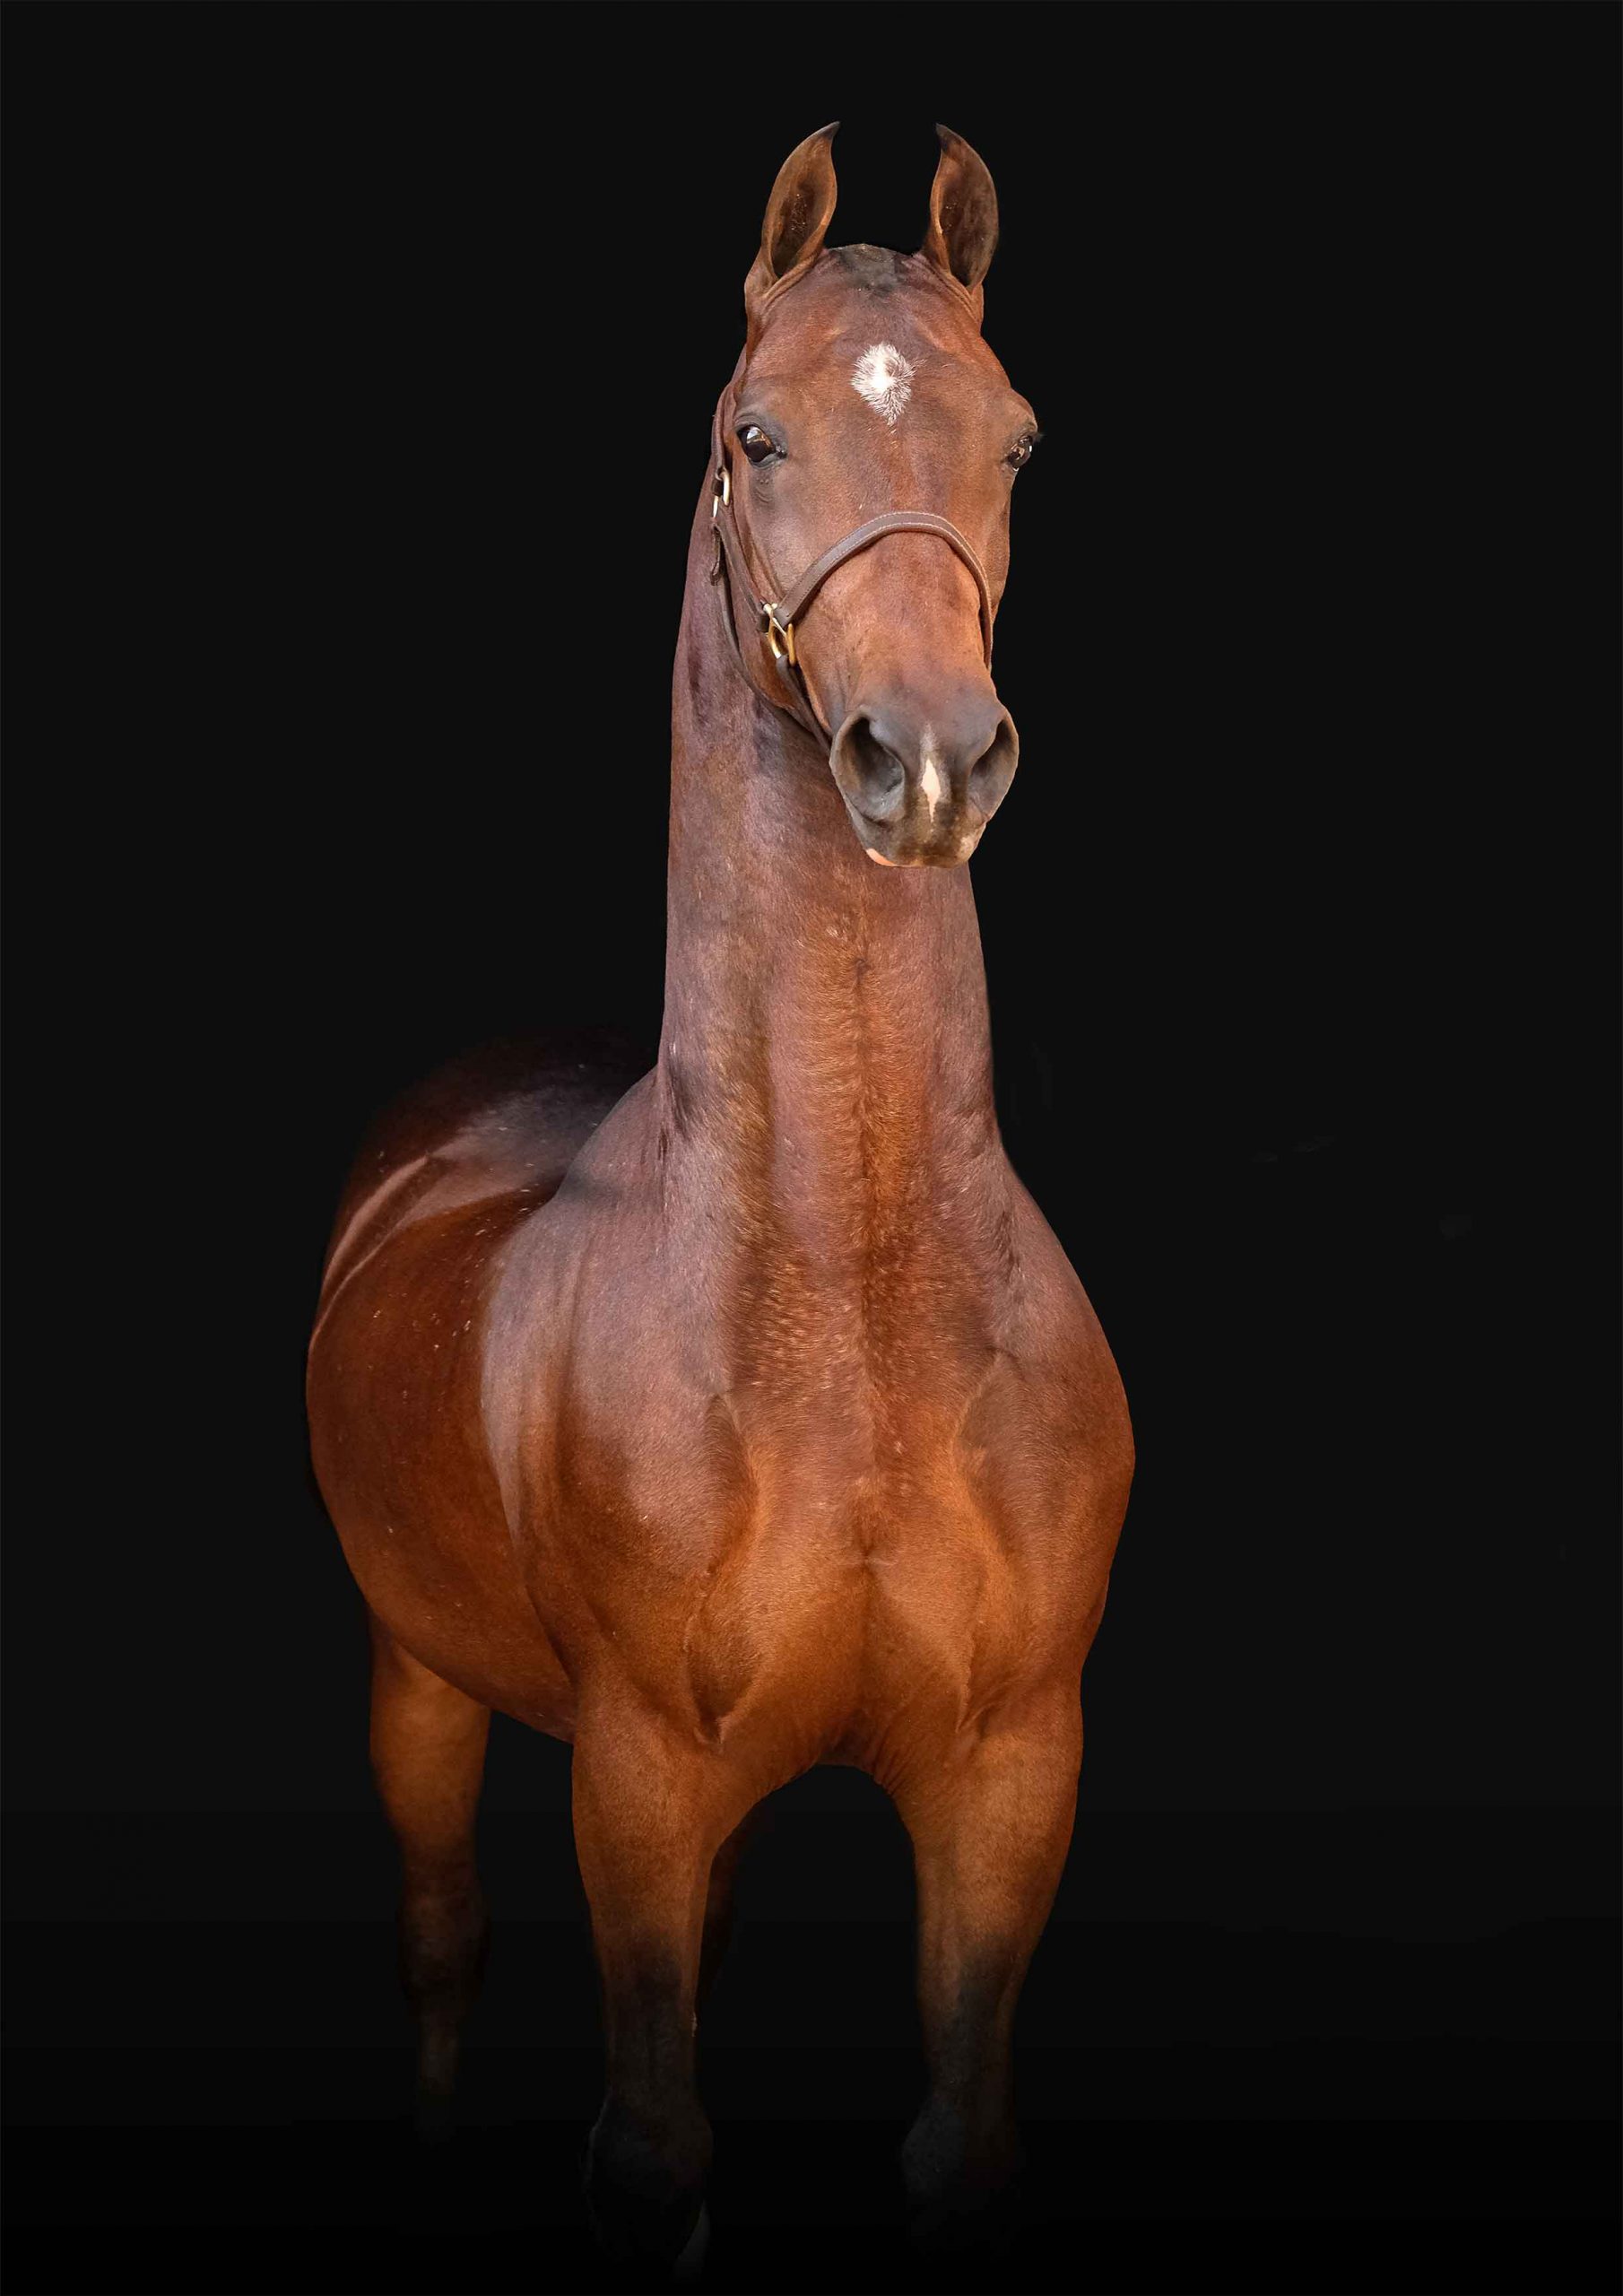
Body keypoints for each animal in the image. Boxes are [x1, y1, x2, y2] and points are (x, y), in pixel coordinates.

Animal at [307, 121, 1133, 2268]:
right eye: (753, 437)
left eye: (1016, 440)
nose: (923, 757)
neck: (845, 1291)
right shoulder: (636, 1774)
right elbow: (651, 2142)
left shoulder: (1012, 1772)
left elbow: (955, 2130)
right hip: (418, 1684)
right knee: (441, 1946)